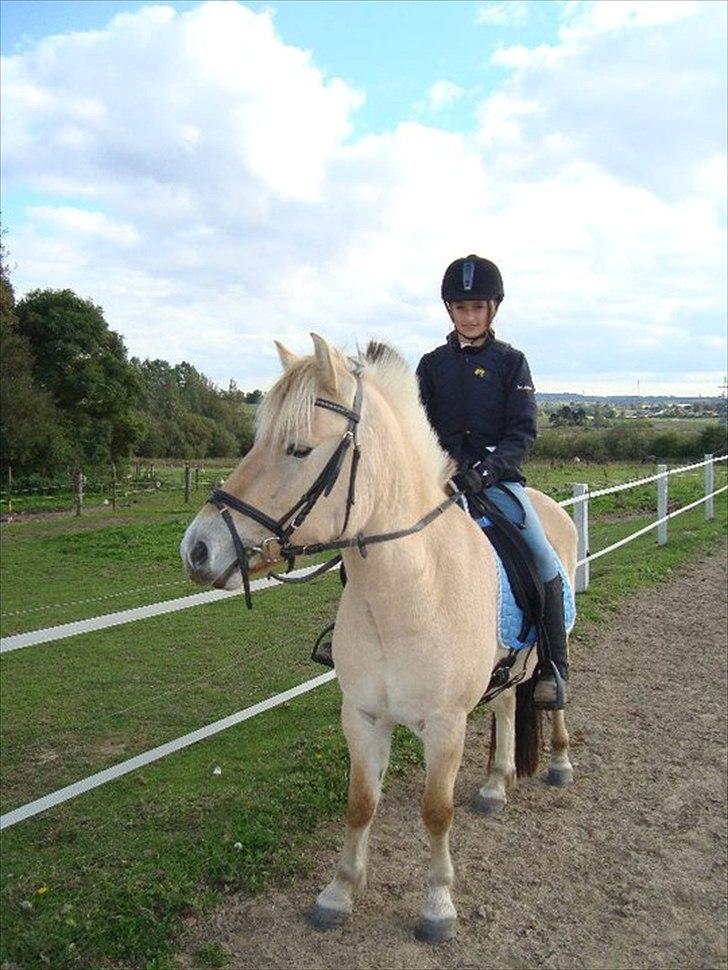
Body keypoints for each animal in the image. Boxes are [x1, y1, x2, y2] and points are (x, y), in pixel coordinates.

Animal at [183, 330, 580, 936]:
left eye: (298, 449)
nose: (198, 549)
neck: (408, 593)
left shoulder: (445, 725)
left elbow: (435, 811)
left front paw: (437, 906)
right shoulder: (363, 714)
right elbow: (360, 803)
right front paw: (339, 893)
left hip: (553, 646)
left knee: (552, 692)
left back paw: (558, 762)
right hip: (506, 665)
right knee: (509, 703)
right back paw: (495, 785)